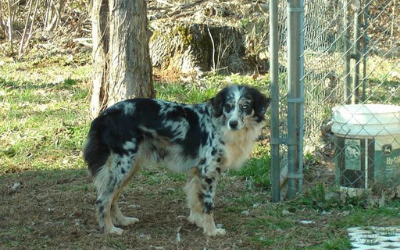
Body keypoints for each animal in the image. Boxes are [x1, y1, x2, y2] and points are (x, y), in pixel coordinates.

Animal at [83, 84, 270, 236]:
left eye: (245, 106)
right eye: (228, 106)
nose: (233, 123)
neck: (219, 124)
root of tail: (104, 115)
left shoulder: (197, 172)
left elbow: (196, 201)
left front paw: (198, 222)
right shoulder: (208, 171)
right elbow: (208, 205)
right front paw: (211, 231)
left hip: (130, 166)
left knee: (113, 198)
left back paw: (122, 220)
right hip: (123, 165)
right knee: (103, 199)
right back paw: (109, 229)